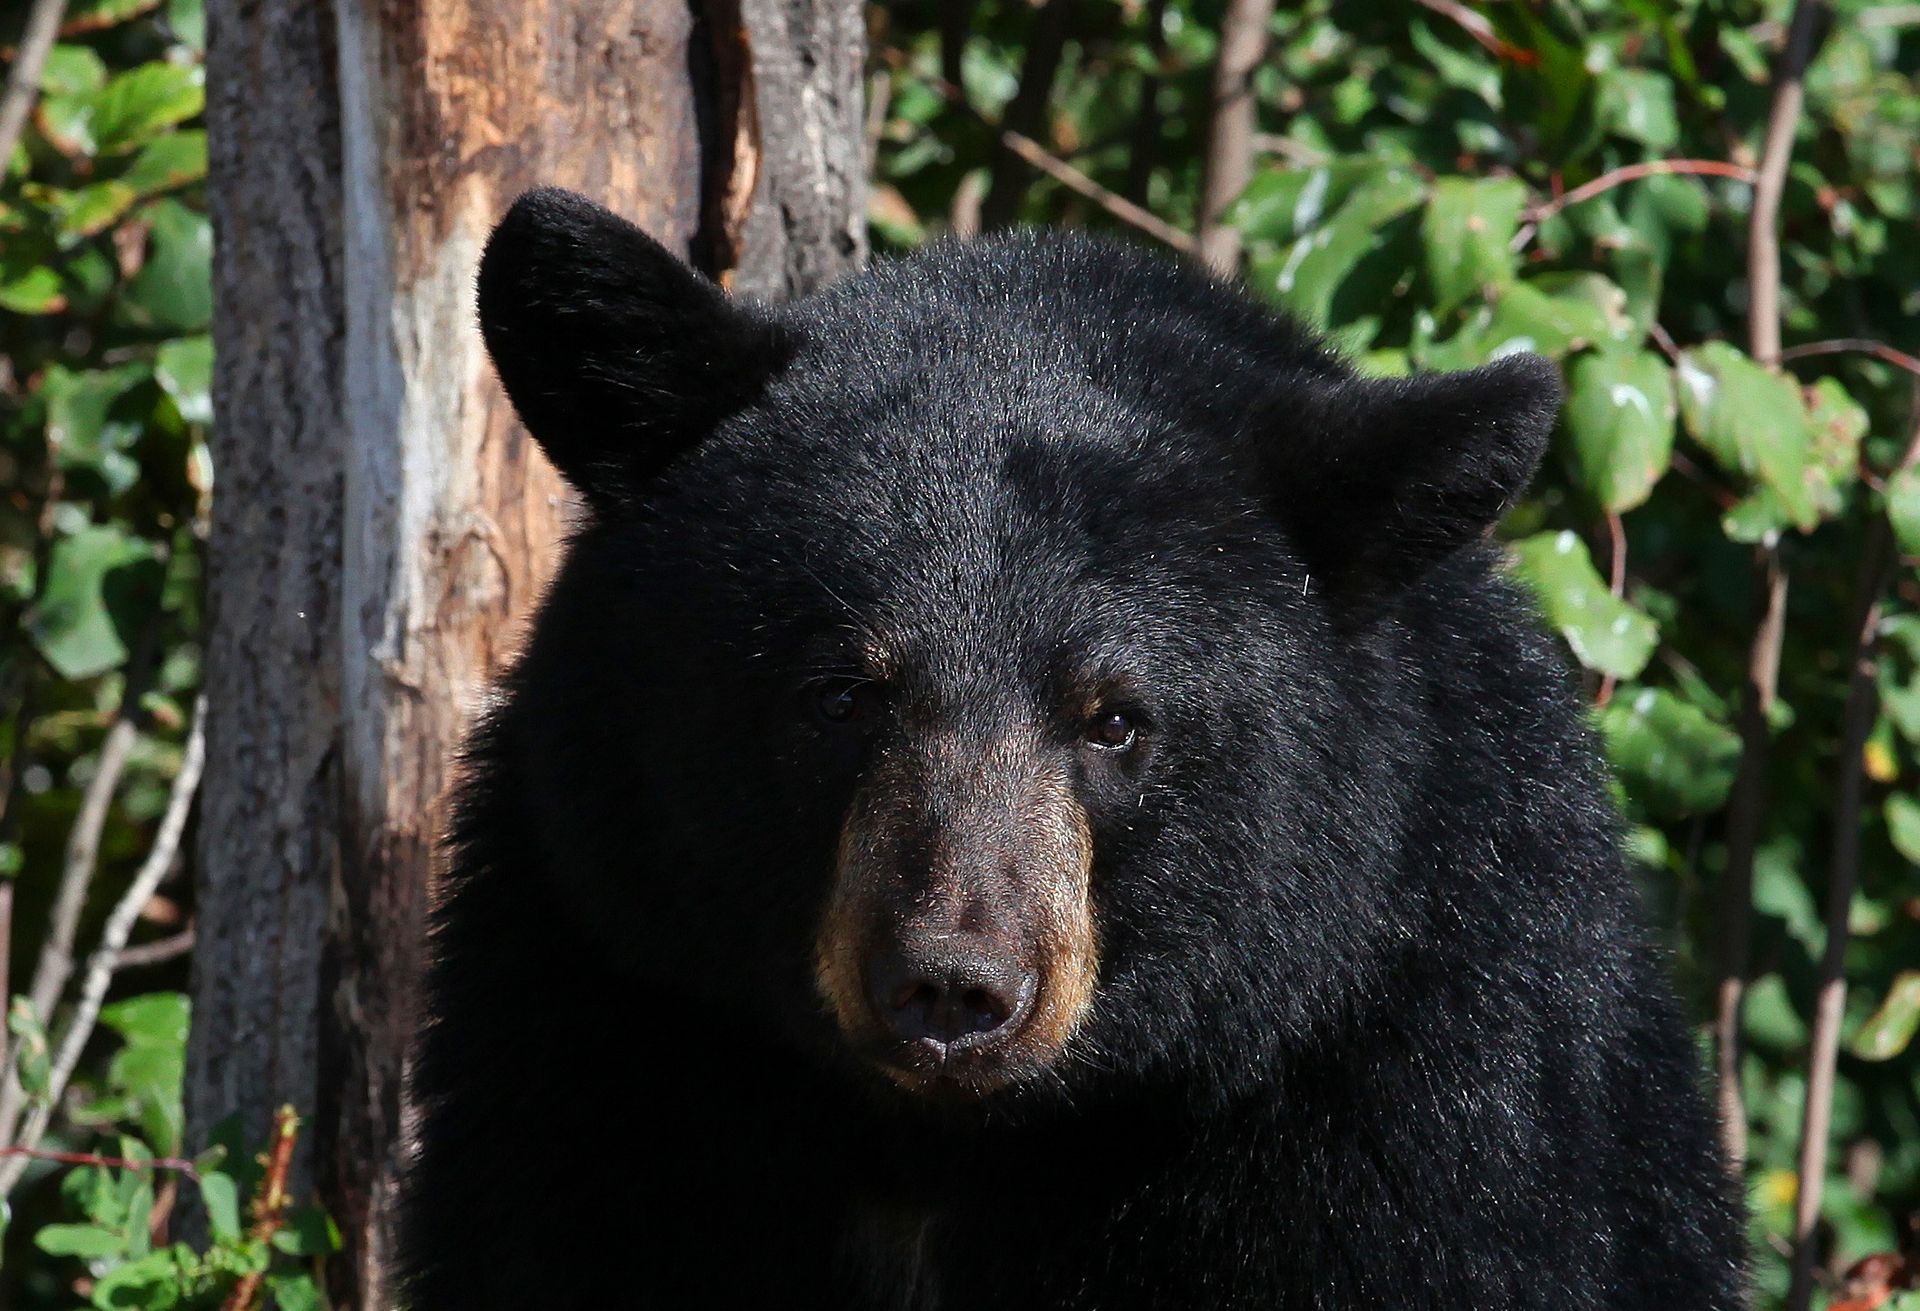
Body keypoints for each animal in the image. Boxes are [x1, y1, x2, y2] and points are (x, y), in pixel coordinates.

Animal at [396, 187, 1746, 1310]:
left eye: (1116, 718)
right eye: (841, 695)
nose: (953, 987)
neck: (946, 1148)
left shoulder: (1429, 1088)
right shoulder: (599, 1025)